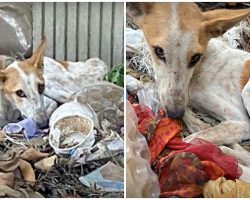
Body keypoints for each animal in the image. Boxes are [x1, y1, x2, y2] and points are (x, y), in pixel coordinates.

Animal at [127, 3, 250, 167]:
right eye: (159, 51)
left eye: (195, 57)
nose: (175, 114)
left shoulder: (241, 121)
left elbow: (191, 139)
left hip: (246, 91)